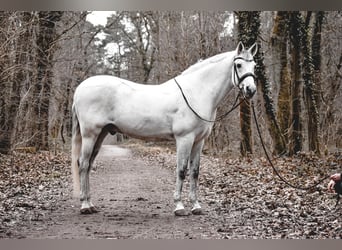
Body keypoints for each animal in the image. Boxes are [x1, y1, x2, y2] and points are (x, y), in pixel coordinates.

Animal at [71, 41, 256, 215]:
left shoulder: (199, 141)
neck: (196, 92)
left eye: (254, 65)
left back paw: (91, 204)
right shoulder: (184, 138)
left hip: (101, 134)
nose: (251, 90)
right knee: (83, 164)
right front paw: (179, 206)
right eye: (238, 65)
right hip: (90, 135)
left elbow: (195, 172)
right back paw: (85, 205)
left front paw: (196, 206)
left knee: (89, 165)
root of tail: (79, 89)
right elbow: (181, 170)